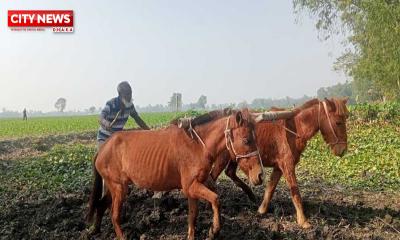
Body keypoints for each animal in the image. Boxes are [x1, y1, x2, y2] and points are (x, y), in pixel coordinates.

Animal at [86, 109, 264, 240]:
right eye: (246, 140)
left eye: (256, 138)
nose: (260, 175)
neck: (197, 145)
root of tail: (103, 148)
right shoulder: (190, 187)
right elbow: (216, 199)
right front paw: (214, 230)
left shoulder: (195, 187)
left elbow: (193, 216)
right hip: (119, 188)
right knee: (114, 215)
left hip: (116, 187)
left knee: (101, 205)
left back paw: (95, 230)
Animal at [211, 98, 348, 229]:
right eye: (338, 122)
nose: (343, 150)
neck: (295, 128)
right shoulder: (288, 165)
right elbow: (295, 193)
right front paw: (303, 221)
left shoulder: (279, 167)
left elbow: (270, 189)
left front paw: (261, 210)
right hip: (224, 158)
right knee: (213, 176)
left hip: (237, 158)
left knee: (229, 172)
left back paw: (251, 195)